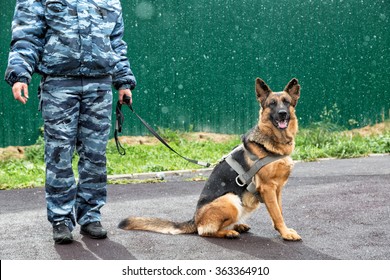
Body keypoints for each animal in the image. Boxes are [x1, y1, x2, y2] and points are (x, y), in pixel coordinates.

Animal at [119, 78, 302, 241]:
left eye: (286, 102)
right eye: (272, 104)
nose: (282, 114)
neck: (273, 143)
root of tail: (195, 219)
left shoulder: (277, 188)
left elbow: (279, 211)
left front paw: (283, 231)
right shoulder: (267, 188)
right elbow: (277, 214)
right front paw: (285, 233)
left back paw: (237, 226)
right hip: (231, 199)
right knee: (205, 231)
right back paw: (229, 232)